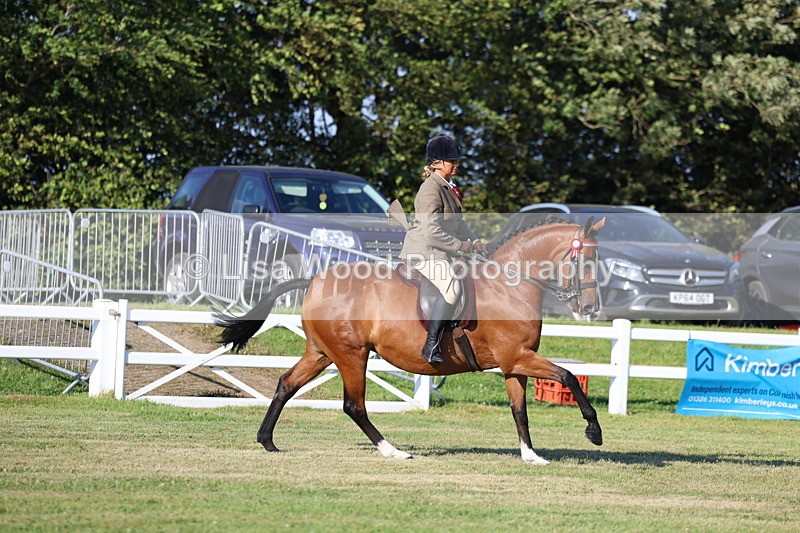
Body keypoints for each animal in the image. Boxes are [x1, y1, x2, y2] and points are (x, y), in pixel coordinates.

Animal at [215, 217, 606, 465]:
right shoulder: (518, 357)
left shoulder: (514, 364)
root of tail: (313, 280)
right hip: (352, 355)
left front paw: (530, 455)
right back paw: (393, 451)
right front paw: (594, 432)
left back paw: (267, 441)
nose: (589, 307)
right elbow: (569, 377)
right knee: (354, 406)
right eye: (584, 259)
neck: (509, 286)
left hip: (322, 353)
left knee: (286, 384)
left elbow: (519, 410)